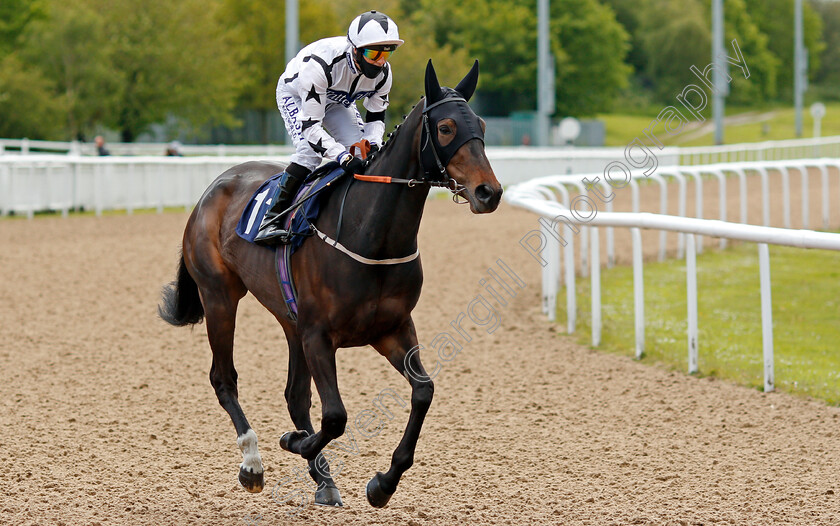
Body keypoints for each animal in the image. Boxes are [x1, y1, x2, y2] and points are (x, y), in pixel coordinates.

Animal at [158, 59, 502, 510]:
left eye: (480, 123)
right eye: (445, 128)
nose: (489, 192)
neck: (370, 234)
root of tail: (213, 188)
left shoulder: (391, 328)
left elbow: (423, 391)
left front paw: (383, 483)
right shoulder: (319, 334)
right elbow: (336, 416)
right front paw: (294, 443)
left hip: (290, 320)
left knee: (294, 394)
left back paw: (323, 479)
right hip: (219, 295)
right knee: (224, 378)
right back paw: (253, 463)